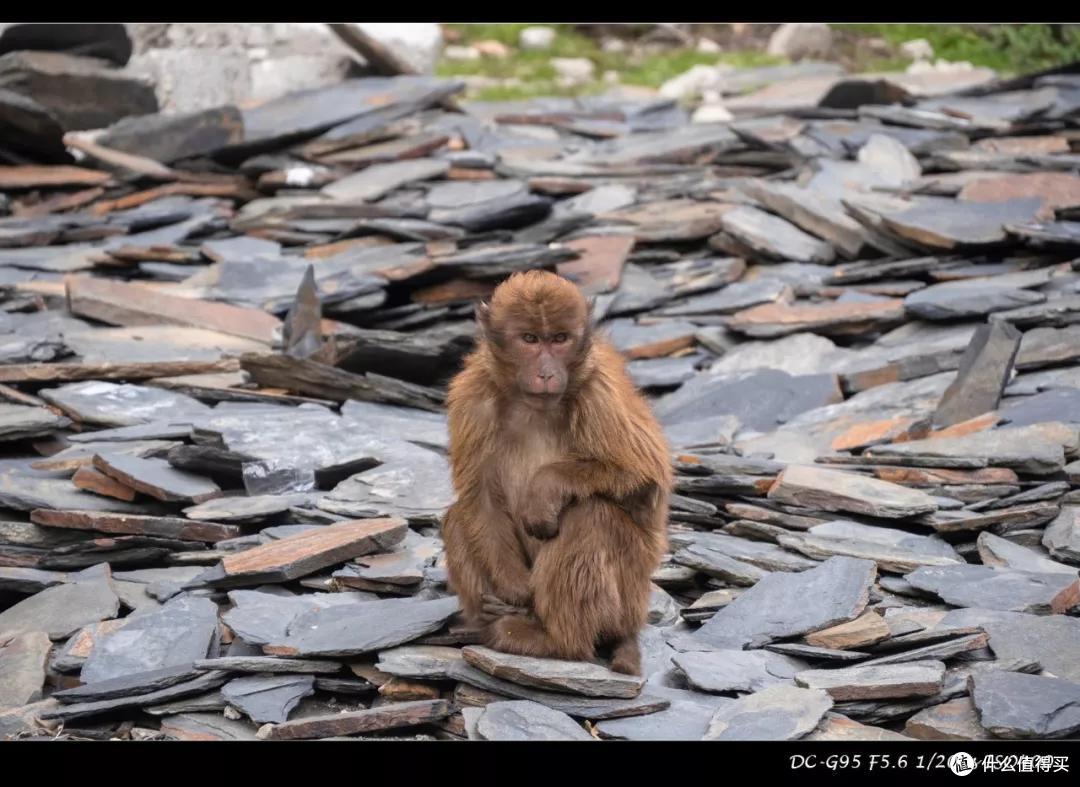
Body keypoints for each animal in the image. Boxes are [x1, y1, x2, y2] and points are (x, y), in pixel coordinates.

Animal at [438, 266, 665, 673]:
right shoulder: (472, 399)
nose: (546, 372)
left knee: (591, 516)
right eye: (529, 339)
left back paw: (554, 642)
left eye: (559, 339)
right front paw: (513, 590)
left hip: (630, 595)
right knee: (458, 517)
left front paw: (543, 490)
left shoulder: (600, 393)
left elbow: (644, 475)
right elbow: (480, 497)